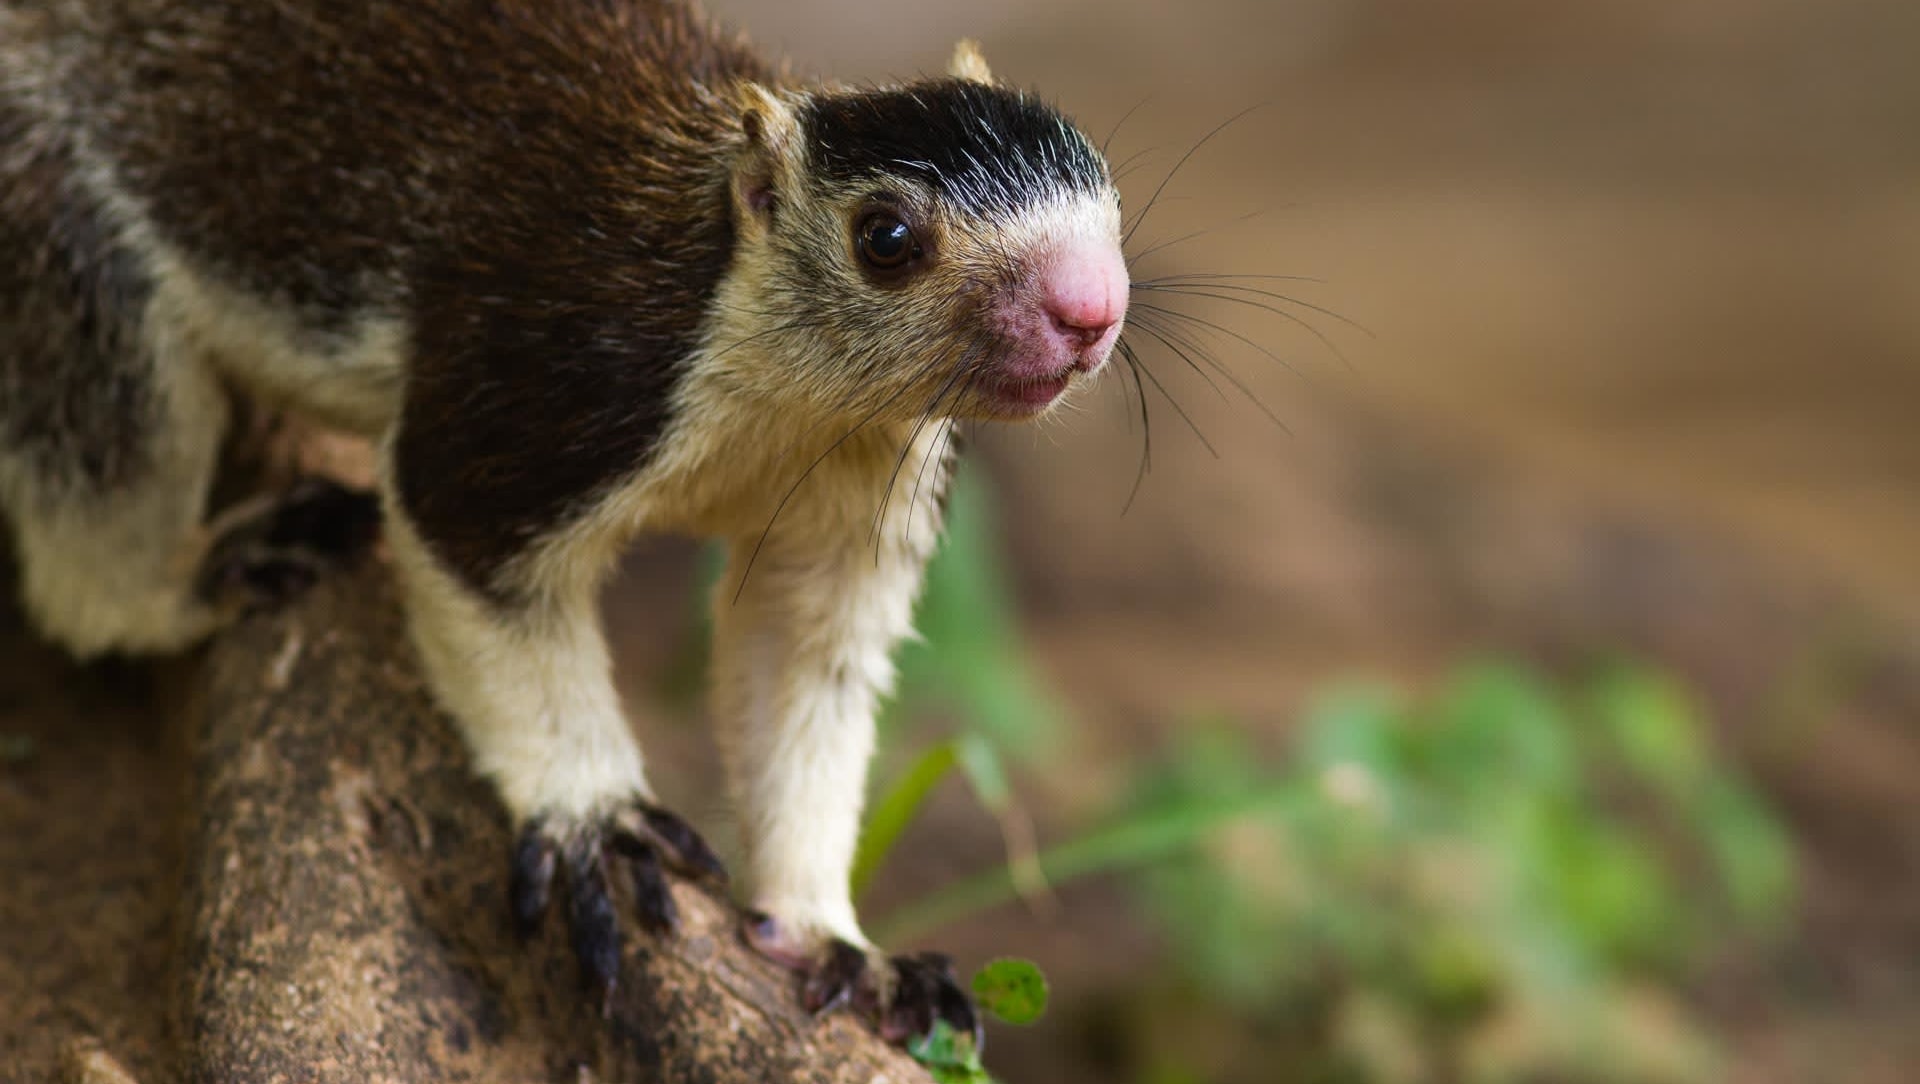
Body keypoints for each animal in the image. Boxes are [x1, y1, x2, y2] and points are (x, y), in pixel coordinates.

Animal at [3, 0, 1121, 1043]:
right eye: (885, 239)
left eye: (1105, 192)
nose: (1091, 310)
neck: (788, 402)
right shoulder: (545, 395)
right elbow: (474, 564)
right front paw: (597, 821)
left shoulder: (864, 497)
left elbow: (799, 673)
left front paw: (832, 939)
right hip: (58, 232)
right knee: (98, 522)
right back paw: (209, 568)